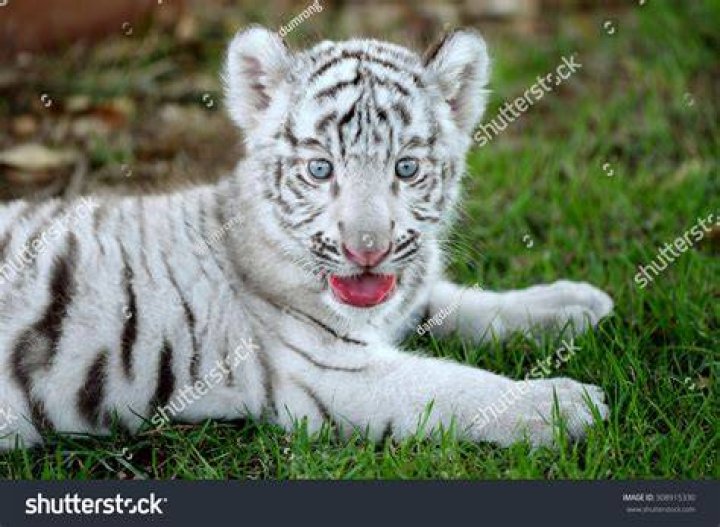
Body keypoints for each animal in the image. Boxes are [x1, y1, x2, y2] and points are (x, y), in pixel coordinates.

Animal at [0, 26, 613, 451]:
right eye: (320, 170)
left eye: (406, 168)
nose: (367, 249)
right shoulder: (331, 375)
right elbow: (456, 386)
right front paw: (562, 402)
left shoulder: (400, 297)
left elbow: (462, 302)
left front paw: (570, 304)